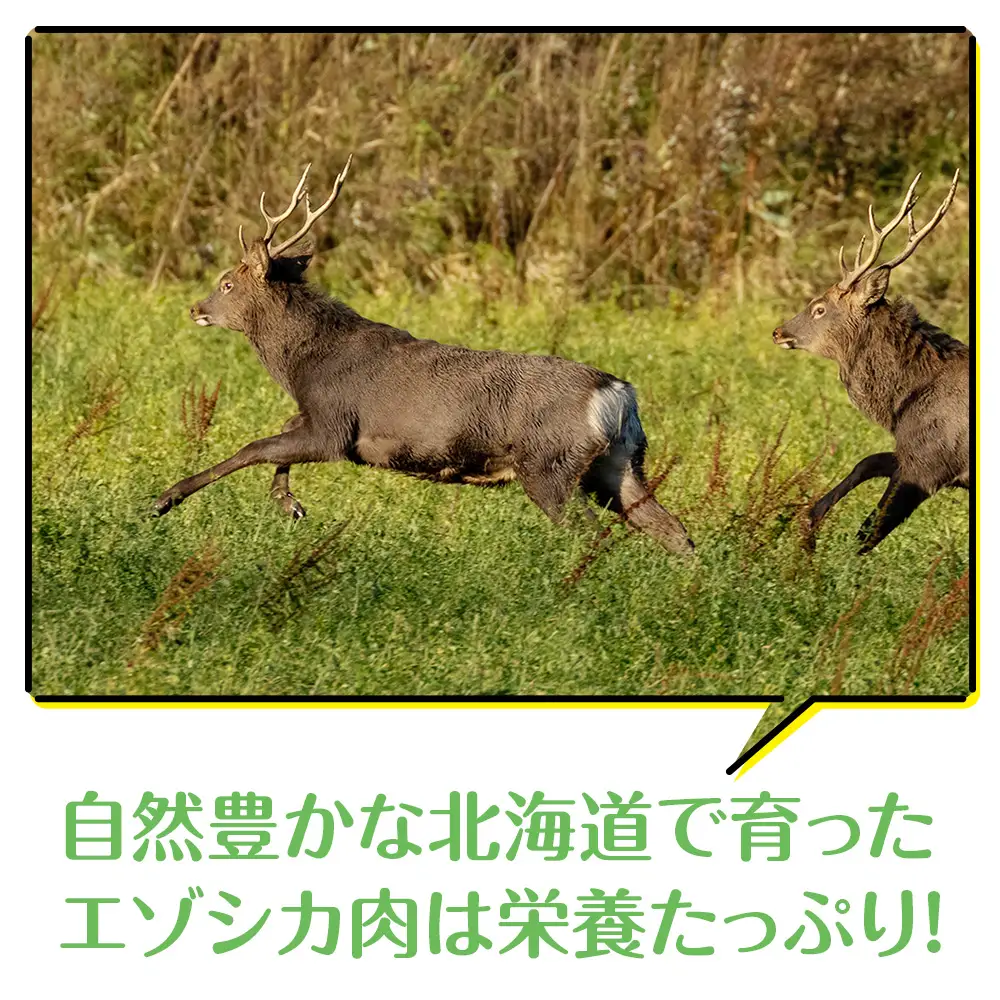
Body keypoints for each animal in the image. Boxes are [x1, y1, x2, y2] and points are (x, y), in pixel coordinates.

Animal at [152, 157, 695, 557]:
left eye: (227, 282)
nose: (196, 308)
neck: (304, 364)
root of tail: (617, 393)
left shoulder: (335, 425)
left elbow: (255, 447)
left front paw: (165, 499)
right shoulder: (320, 419)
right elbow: (277, 436)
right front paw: (289, 504)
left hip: (549, 465)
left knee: (595, 534)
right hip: (619, 463)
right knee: (674, 531)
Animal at [772, 170, 968, 553]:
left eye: (819, 308)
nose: (778, 332)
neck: (900, 404)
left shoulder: (930, 463)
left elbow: (868, 532)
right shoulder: (914, 454)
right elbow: (868, 462)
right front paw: (808, 524)